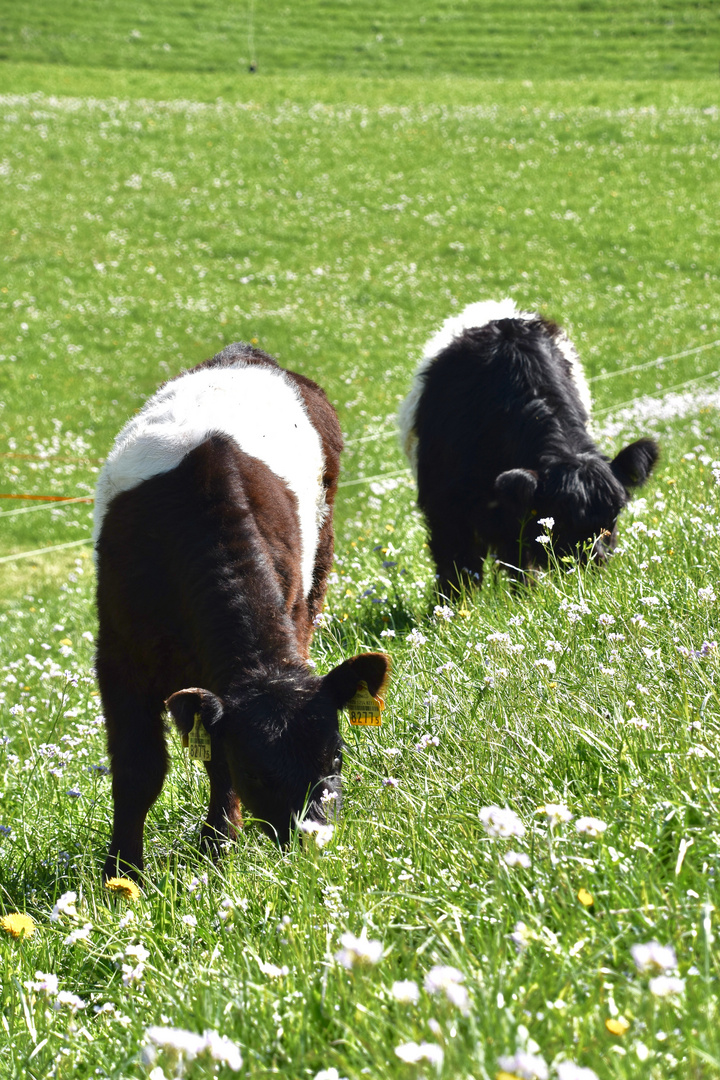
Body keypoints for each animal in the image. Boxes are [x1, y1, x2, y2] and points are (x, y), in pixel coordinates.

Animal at [95, 345, 390, 876]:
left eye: (335, 759)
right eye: (257, 770)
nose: (313, 841)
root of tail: (245, 353)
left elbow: (216, 762)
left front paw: (219, 843)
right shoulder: (118, 652)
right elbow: (139, 769)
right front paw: (121, 874)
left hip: (319, 566)